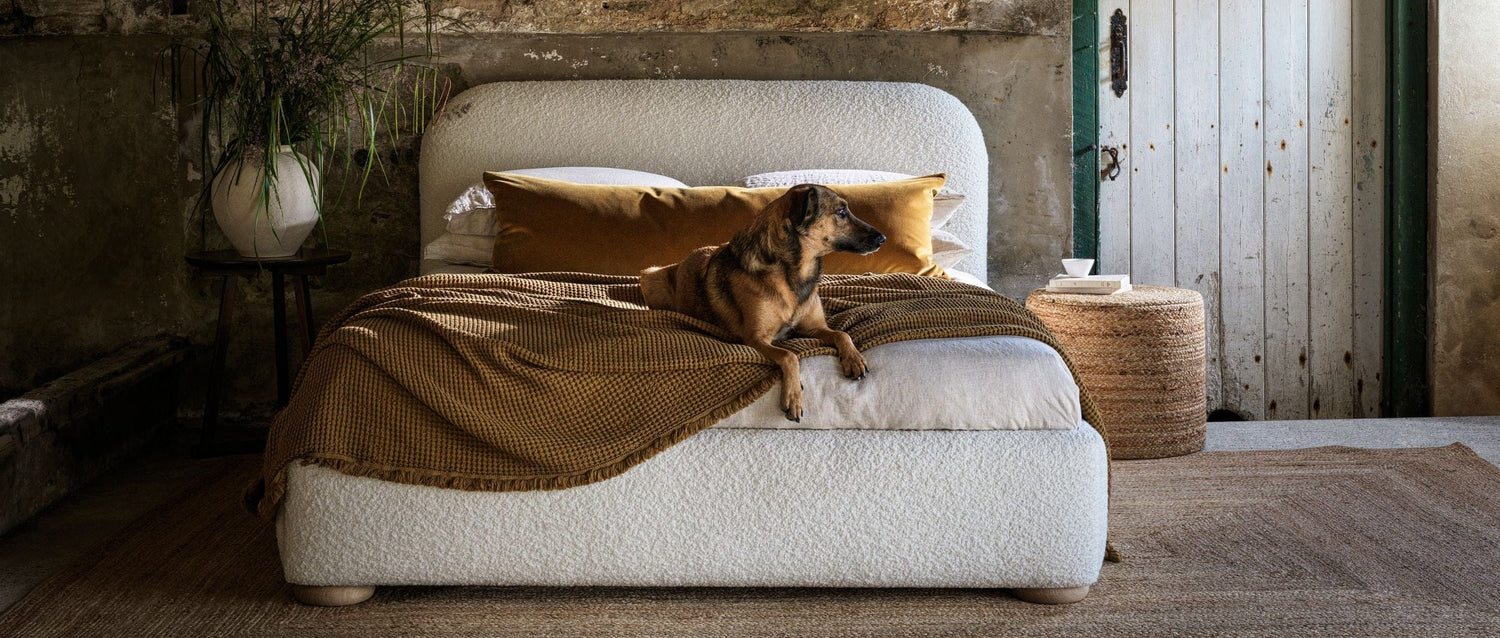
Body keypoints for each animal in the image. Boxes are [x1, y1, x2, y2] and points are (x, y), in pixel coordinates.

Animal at [640, 184, 886, 421]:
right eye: (841, 212)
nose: (883, 238)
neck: (794, 273)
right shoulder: (756, 338)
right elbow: (789, 355)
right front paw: (793, 396)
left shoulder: (814, 328)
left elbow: (841, 334)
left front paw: (854, 359)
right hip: (650, 276)